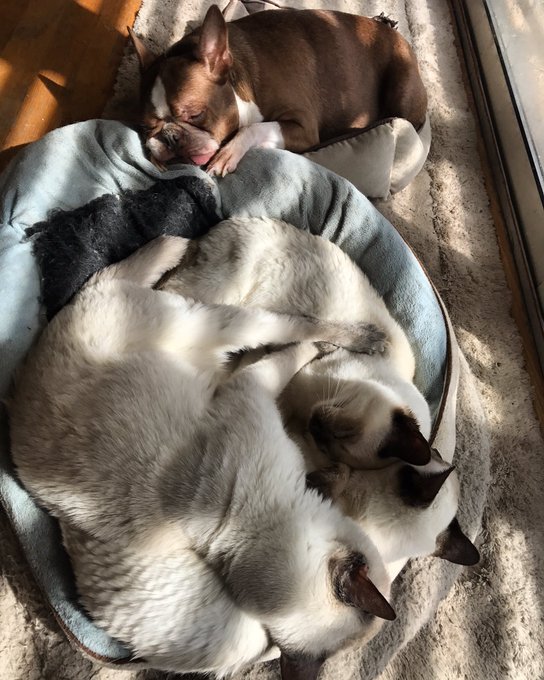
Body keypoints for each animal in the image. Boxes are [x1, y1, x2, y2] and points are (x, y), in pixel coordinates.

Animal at [128, 5, 427, 174]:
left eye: (194, 115)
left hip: (402, 91)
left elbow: (254, 128)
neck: (242, 85)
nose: (169, 137)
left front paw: (229, 153)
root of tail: (396, 33)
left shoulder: (304, 128)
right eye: (144, 127)